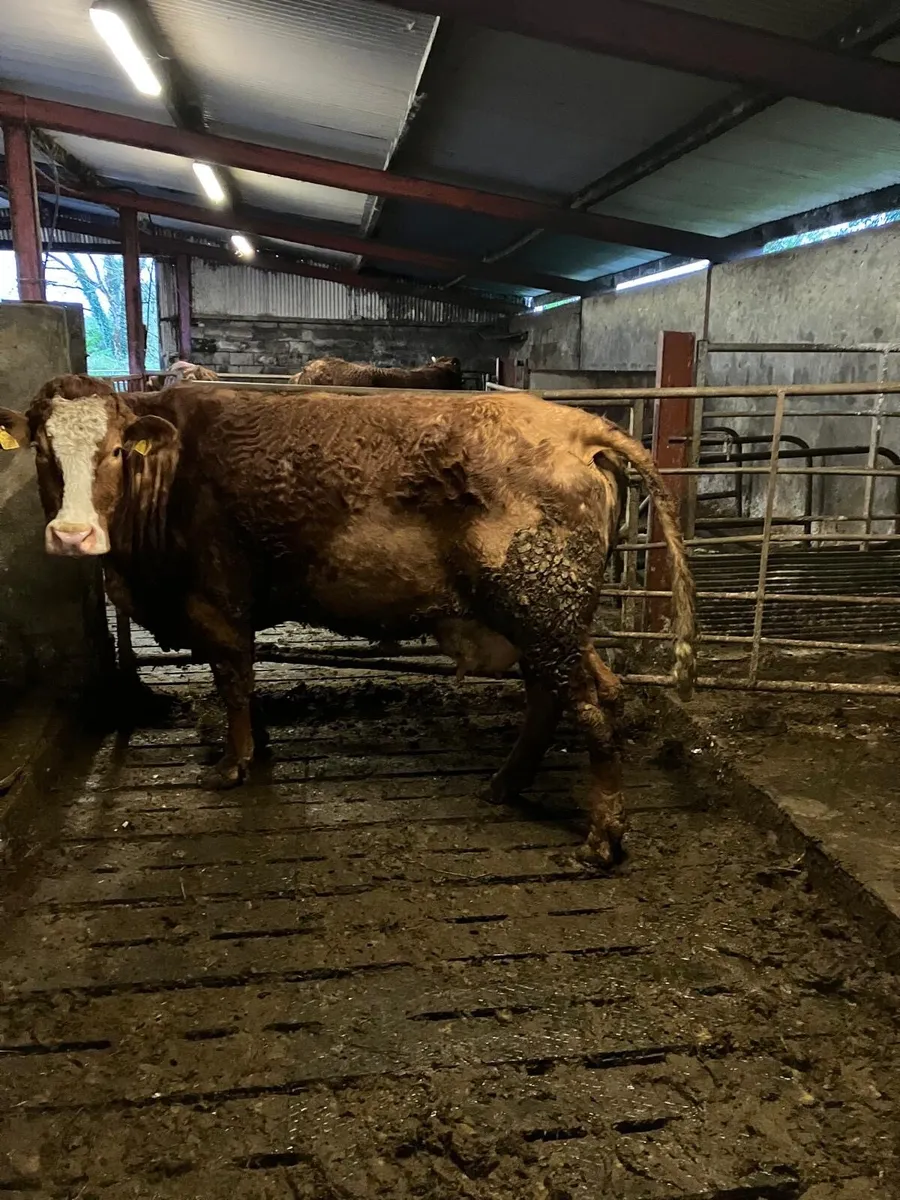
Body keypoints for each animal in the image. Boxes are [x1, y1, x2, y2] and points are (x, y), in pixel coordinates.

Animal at [0, 382, 695, 865]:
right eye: (42, 449)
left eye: (116, 450)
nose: (72, 534)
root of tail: (577, 425)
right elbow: (248, 684)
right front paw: (260, 748)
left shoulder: (217, 603)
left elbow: (232, 680)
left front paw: (232, 764)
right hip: (552, 622)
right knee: (575, 693)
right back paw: (505, 784)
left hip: (539, 610)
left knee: (587, 709)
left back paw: (601, 838)